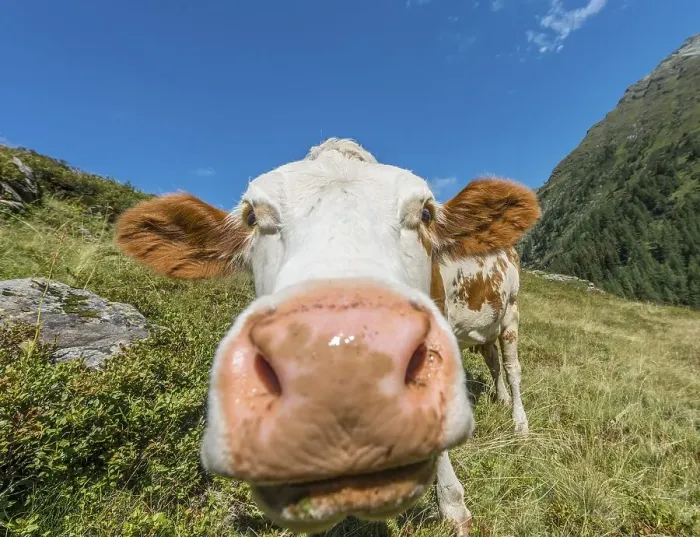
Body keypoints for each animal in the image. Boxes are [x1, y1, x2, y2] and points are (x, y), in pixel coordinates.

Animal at [114, 138, 541, 536]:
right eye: (252, 216)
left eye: (425, 213)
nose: (341, 364)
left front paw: (453, 507)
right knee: (493, 362)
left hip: (512, 311)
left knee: (513, 367)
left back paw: (520, 424)